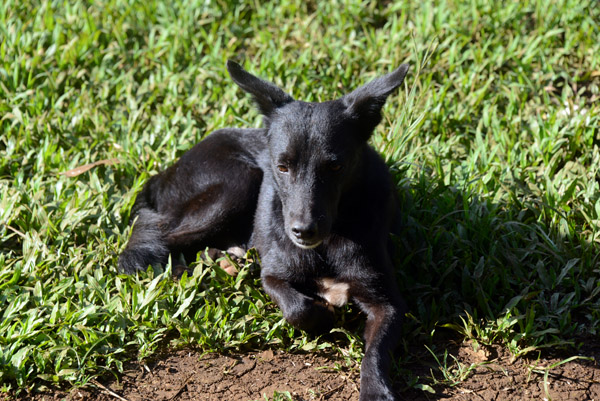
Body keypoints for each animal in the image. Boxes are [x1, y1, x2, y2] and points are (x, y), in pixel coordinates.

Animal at [118, 60, 408, 400]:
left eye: (335, 167)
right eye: (281, 167)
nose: (303, 232)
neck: (328, 243)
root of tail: (166, 172)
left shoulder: (387, 303)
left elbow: (375, 352)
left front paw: (375, 389)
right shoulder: (273, 275)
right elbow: (296, 308)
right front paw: (323, 314)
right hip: (237, 182)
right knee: (150, 241)